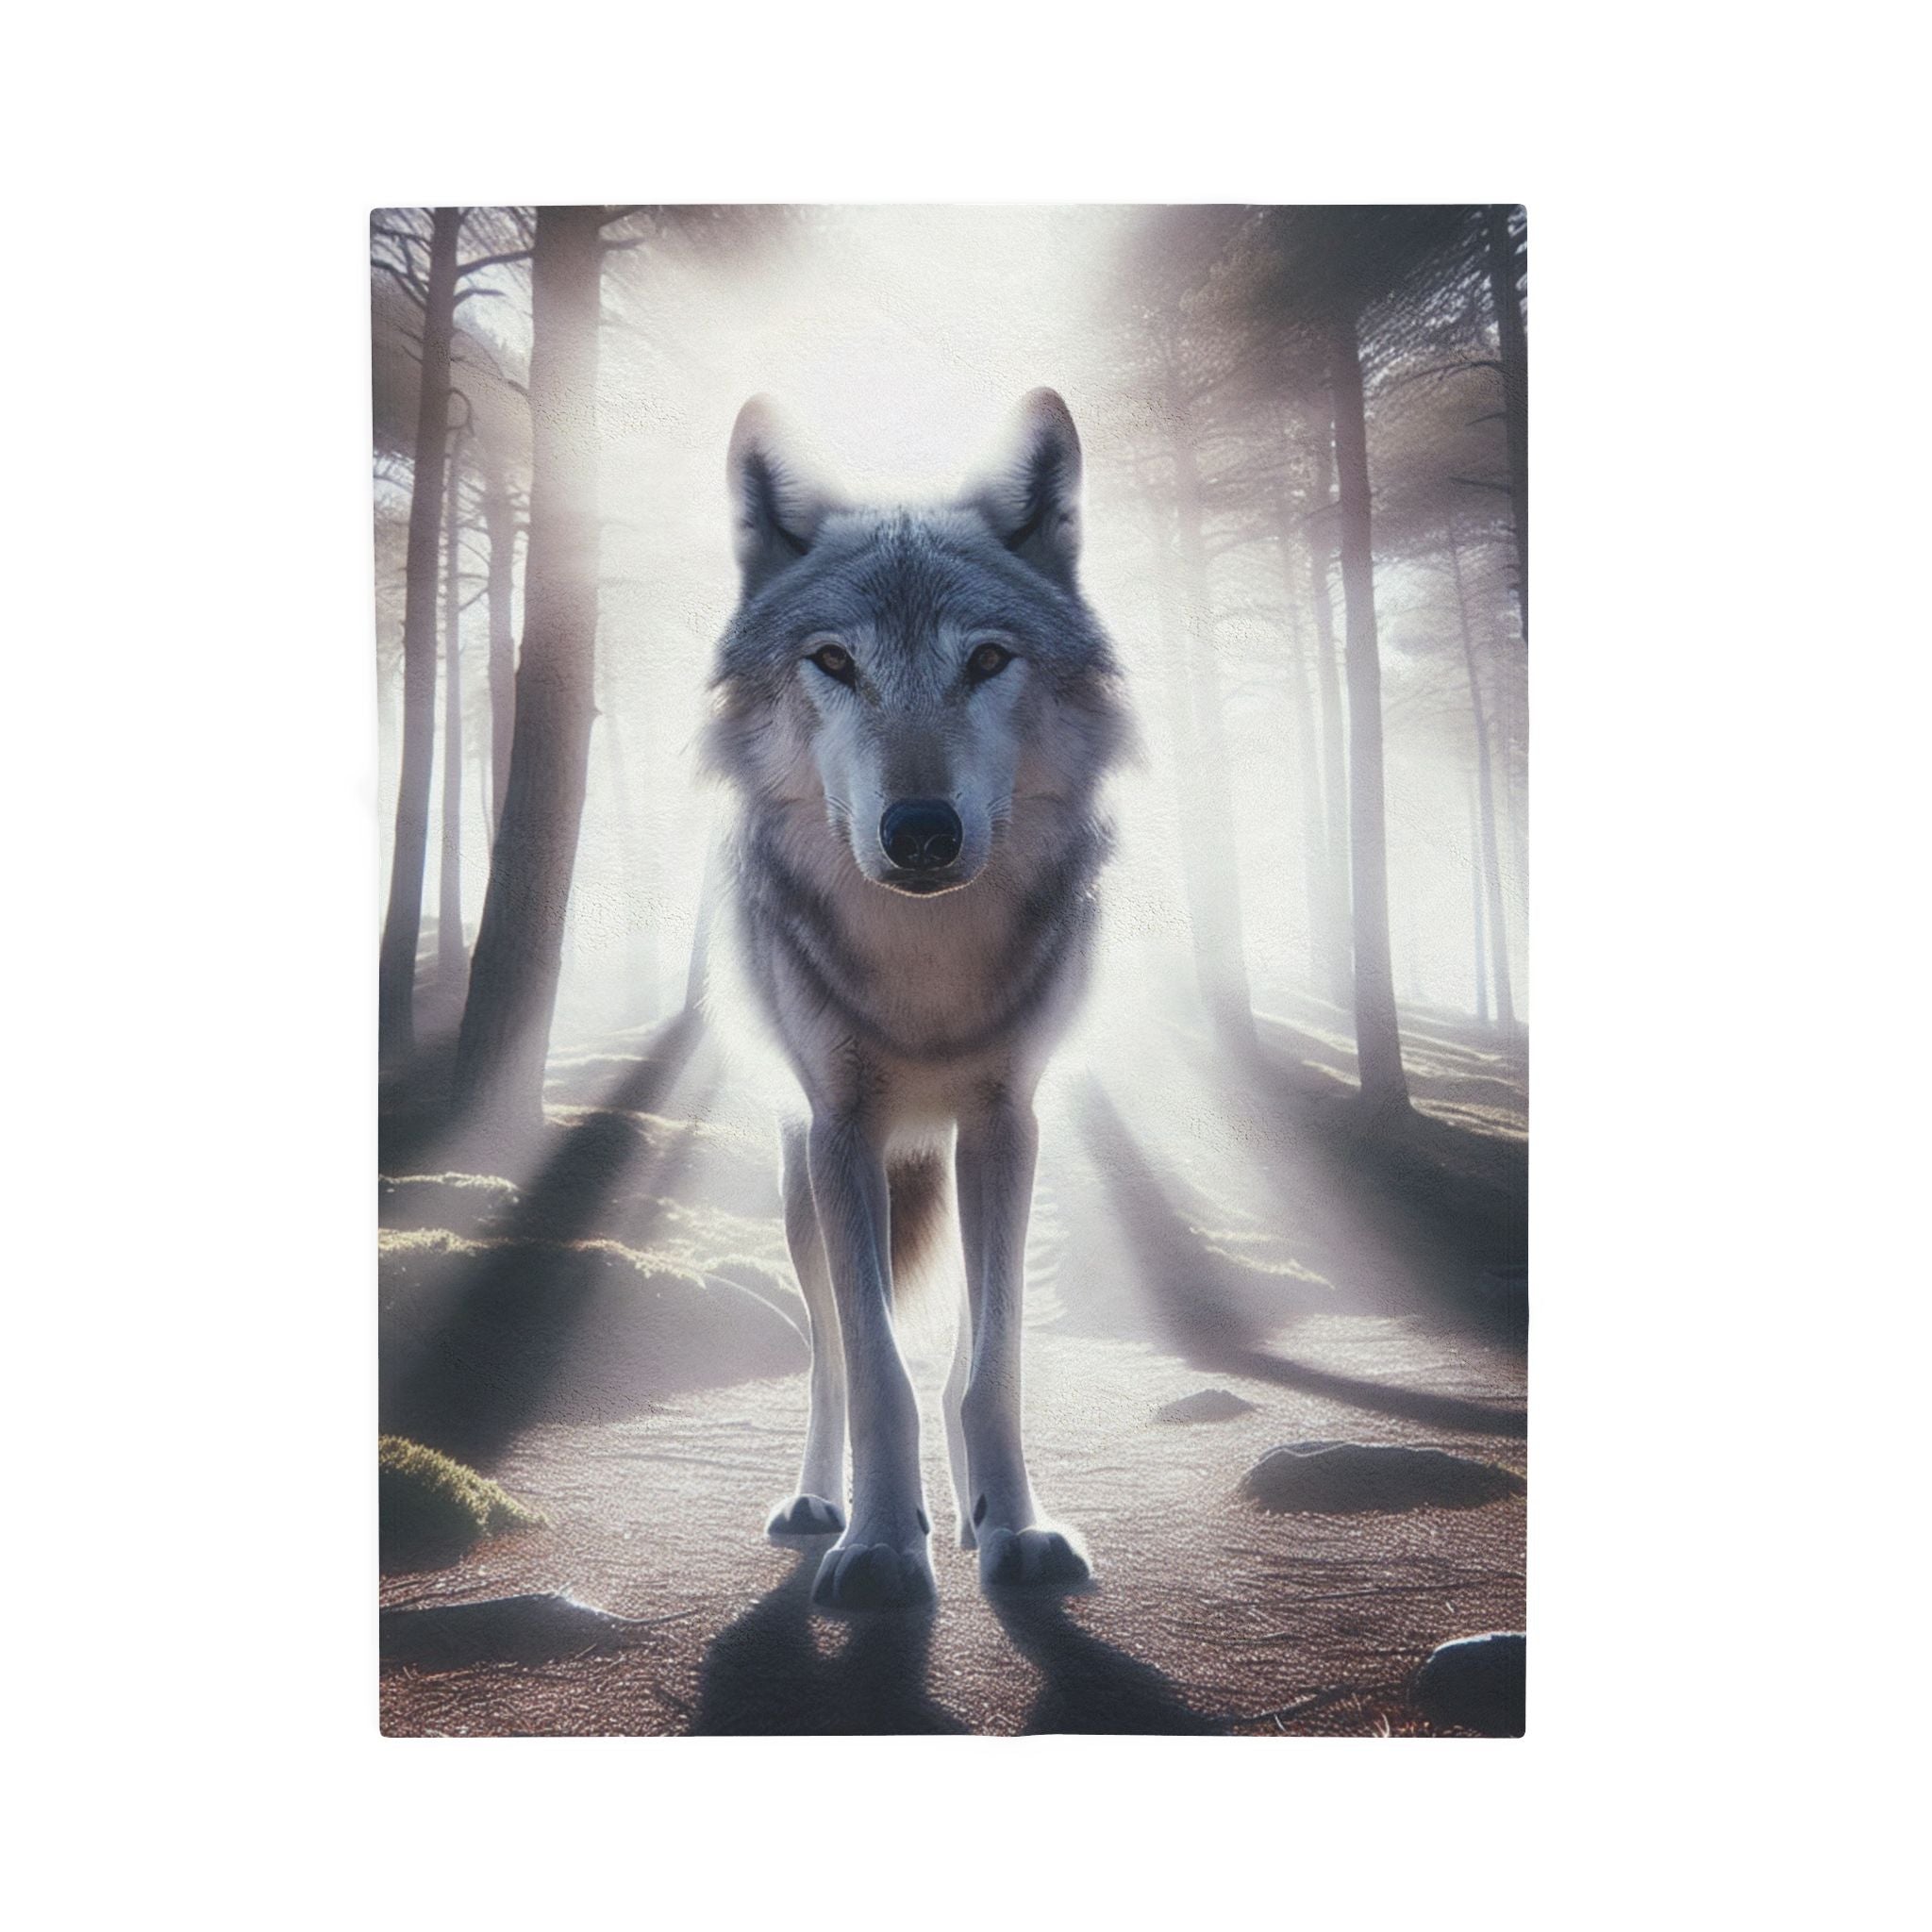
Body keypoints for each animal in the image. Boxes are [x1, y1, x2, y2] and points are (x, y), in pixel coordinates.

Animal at [703, 388, 1133, 1610]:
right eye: (833, 661)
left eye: (985, 658)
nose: (922, 831)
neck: (926, 967)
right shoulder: (843, 1128)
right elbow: (874, 1368)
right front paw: (883, 1544)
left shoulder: (1003, 1121)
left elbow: (989, 1365)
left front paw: (1013, 1527)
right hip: (801, 1181)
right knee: (827, 1356)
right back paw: (819, 1502)